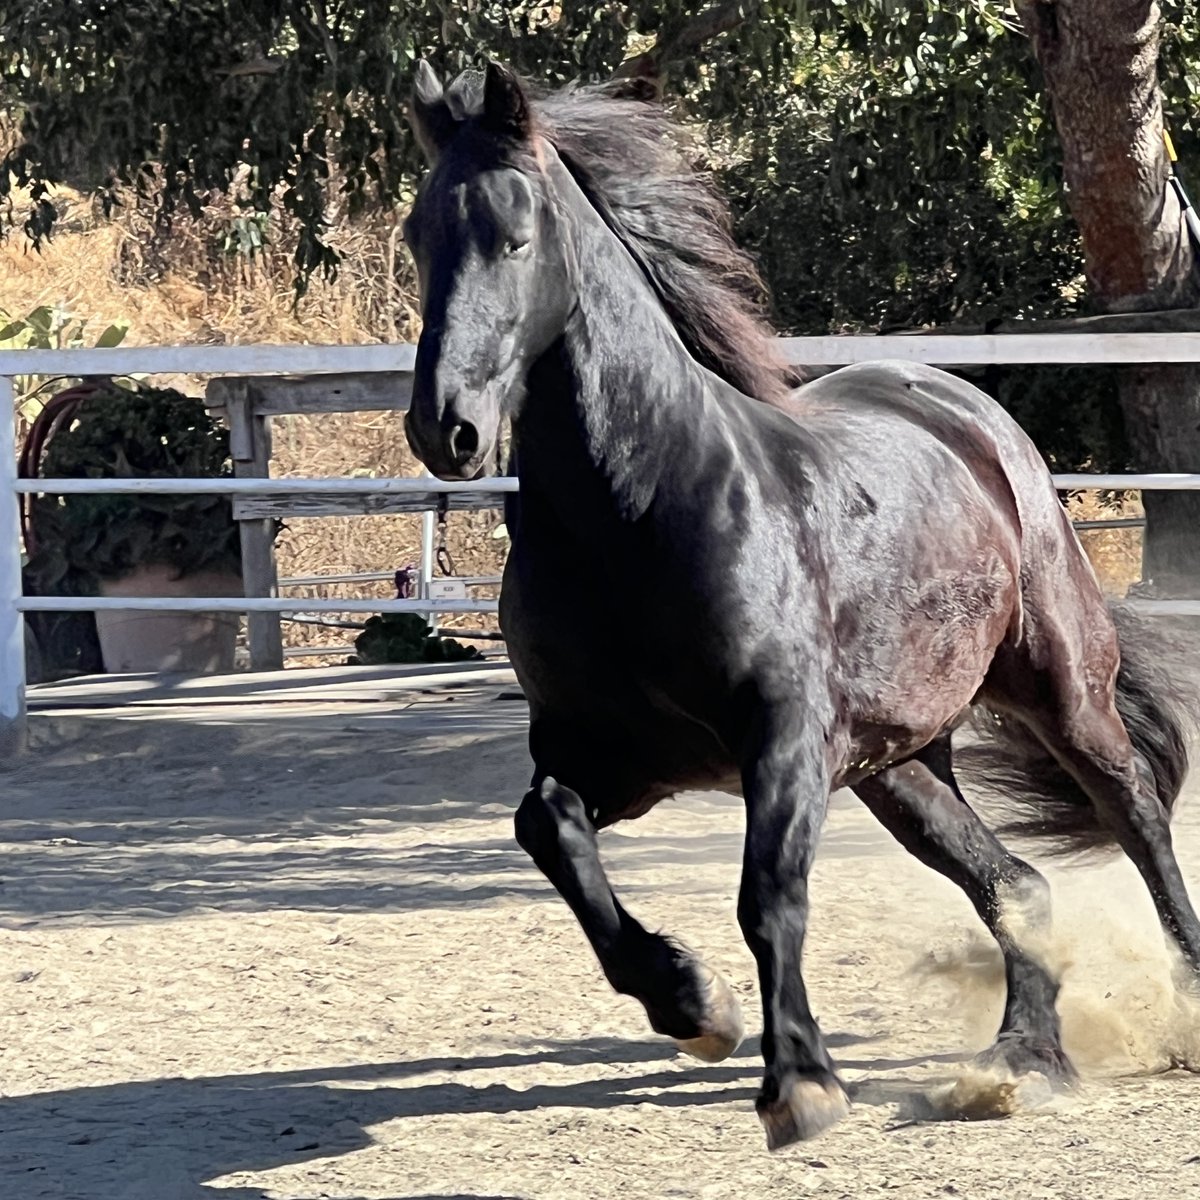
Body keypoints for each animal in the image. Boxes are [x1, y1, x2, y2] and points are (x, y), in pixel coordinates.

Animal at [400, 59, 1200, 1150]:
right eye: (418, 236)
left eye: (514, 234)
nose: (446, 429)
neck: (638, 514)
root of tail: (969, 414)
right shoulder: (620, 757)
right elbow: (548, 829)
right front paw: (693, 1004)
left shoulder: (780, 739)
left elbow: (769, 898)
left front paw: (801, 1084)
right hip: (898, 765)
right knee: (1018, 887)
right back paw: (1021, 1063)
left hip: (1060, 688)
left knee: (1137, 818)